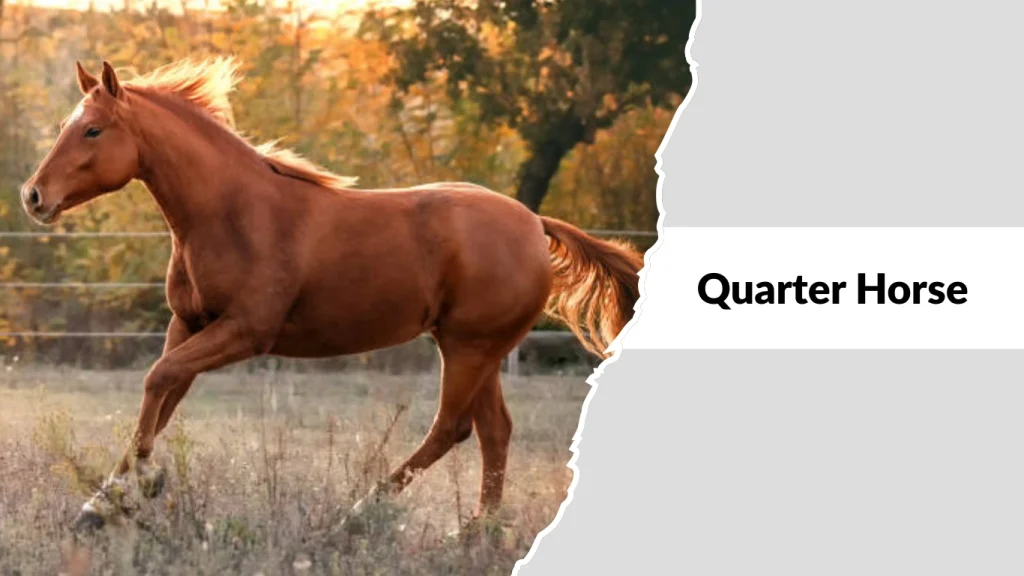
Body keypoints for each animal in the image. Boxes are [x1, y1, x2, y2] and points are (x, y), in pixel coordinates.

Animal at [20, 57, 644, 533]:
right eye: (67, 124)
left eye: (92, 130)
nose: (33, 196)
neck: (232, 213)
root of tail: (534, 224)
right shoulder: (189, 325)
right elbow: (161, 397)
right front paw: (99, 505)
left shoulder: (246, 332)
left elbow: (157, 381)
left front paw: (140, 485)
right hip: (477, 348)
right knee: (493, 431)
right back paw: (475, 532)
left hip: (470, 347)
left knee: (452, 428)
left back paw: (359, 514)